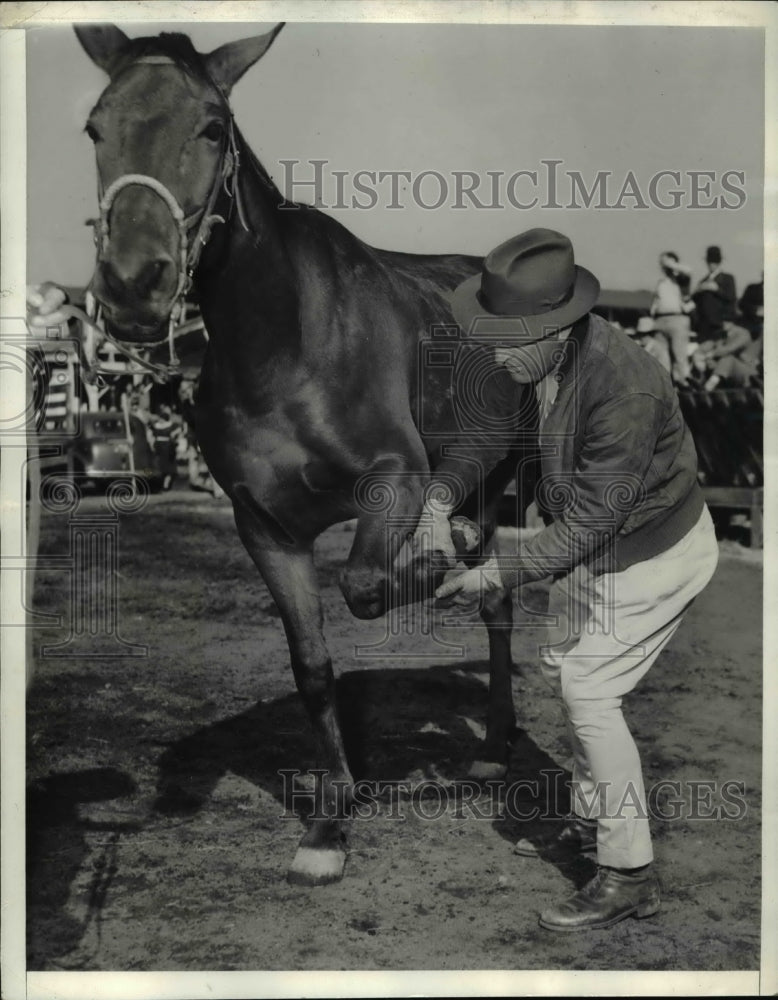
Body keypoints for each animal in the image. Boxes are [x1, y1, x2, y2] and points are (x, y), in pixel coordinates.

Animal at [73, 23, 538, 885]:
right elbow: (313, 665)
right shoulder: (266, 525)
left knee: (495, 603)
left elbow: (364, 586)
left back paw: (491, 743)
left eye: (212, 126)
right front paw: (329, 822)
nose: (131, 285)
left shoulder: (397, 478)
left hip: (498, 481)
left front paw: (424, 568)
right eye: (95, 127)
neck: (285, 344)